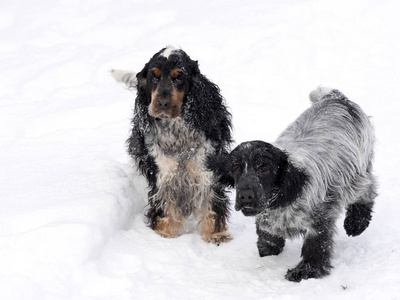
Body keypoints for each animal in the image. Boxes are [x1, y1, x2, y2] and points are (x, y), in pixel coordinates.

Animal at [227, 86, 376, 282]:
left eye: (264, 169)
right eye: (236, 169)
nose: (245, 196)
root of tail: (337, 97)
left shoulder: (320, 218)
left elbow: (316, 247)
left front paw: (306, 271)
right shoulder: (267, 218)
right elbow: (268, 236)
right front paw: (268, 252)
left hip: (357, 172)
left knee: (368, 189)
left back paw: (356, 223)